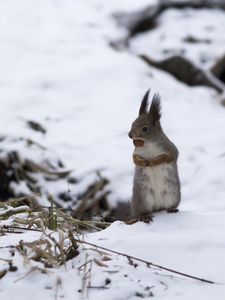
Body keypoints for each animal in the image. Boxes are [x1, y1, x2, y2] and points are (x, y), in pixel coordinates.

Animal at [128, 89, 181, 223]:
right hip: (143, 197)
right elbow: (134, 158)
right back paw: (144, 215)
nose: (130, 135)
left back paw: (171, 209)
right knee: (143, 210)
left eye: (145, 129)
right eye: (132, 123)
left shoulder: (170, 148)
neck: (148, 143)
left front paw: (154, 162)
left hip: (172, 194)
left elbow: (169, 157)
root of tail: (157, 206)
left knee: (169, 205)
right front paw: (140, 162)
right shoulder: (137, 151)